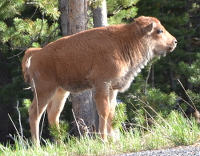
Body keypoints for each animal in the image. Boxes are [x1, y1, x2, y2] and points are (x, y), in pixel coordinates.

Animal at [21, 15, 177, 145]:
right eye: (159, 31)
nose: (174, 41)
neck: (126, 40)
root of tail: (37, 52)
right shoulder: (102, 85)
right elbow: (104, 111)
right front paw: (104, 139)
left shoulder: (112, 89)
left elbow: (111, 112)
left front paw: (112, 139)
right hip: (44, 90)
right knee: (35, 113)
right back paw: (37, 146)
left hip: (60, 91)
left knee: (53, 114)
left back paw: (60, 144)